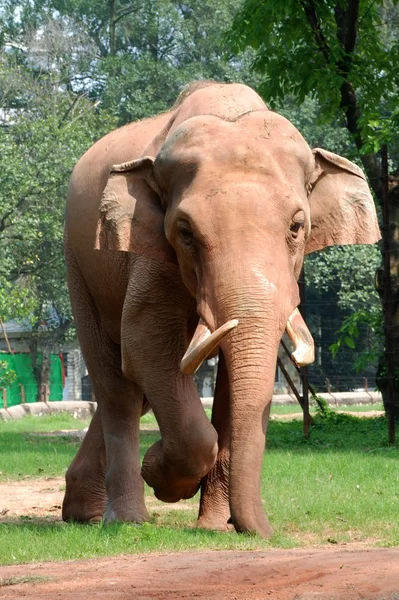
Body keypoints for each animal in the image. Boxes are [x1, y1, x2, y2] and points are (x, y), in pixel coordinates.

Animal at [62, 81, 382, 540]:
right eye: (185, 232)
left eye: (297, 226)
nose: (267, 532)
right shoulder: (148, 251)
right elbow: (145, 343)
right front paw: (161, 474)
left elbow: (234, 382)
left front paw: (214, 526)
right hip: (78, 264)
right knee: (115, 385)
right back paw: (123, 520)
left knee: (133, 391)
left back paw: (83, 513)